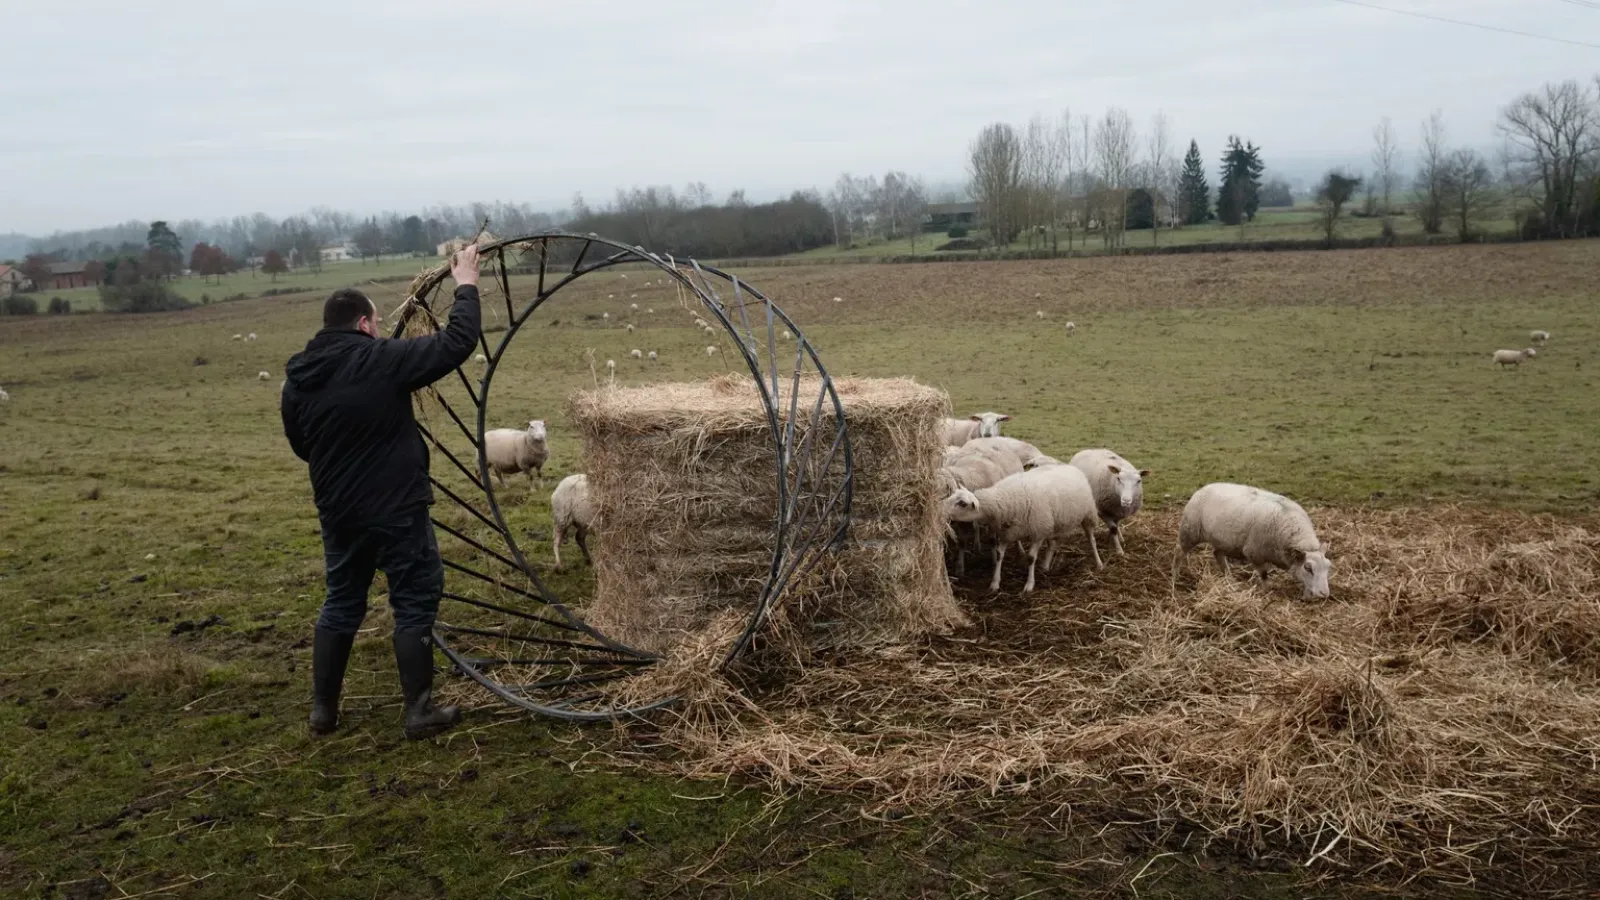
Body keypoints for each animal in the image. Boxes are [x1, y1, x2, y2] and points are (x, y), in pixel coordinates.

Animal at [940, 461, 1107, 595]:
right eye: (953, 496)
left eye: (962, 503)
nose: (940, 509)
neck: (1004, 499)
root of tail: (1069, 466)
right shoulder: (1008, 533)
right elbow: (999, 555)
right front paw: (995, 583)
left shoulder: (1038, 532)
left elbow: (1031, 558)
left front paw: (1029, 585)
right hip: (1053, 522)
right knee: (1052, 543)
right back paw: (1045, 566)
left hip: (1087, 515)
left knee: (1091, 540)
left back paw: (1099, 563)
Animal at [1171, 480, 1331, 598]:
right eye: (1308, 568)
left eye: (1329, 567)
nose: (1324, 594)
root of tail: (1204, 488)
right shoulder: (1254, 553)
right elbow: (1264, 575)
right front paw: (1266, 591)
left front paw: (1307, 595)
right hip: (1189, 531)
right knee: (1179, 553)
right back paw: (1175, 575)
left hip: (1223, 540)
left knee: (1217, 554)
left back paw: (1229, 578)